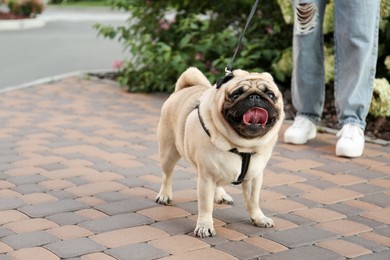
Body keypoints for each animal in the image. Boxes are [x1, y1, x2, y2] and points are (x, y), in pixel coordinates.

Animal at [155, 67, 284, 238]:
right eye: (236, 94)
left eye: (270, 95)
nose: (255, 96)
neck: (243, 146)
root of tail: (183, 89)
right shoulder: (206, 178)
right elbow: (205, 206)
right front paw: (205, 226)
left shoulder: (254, 178)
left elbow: (253, 201)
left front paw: (259, 218)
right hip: (169, 152)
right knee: (167, 175)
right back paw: (165, 195)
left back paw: (221, 195)